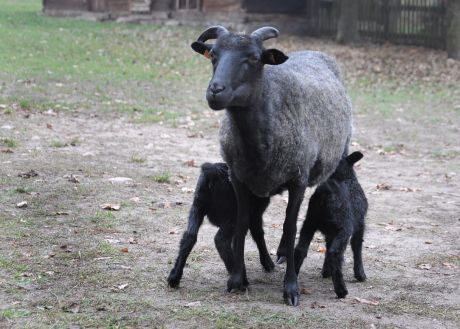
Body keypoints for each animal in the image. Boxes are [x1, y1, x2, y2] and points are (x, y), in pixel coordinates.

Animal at [190, 25, 352, 304]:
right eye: (213, 55)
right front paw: (237, 279)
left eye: (254, 58)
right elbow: (243, 223)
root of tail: (313, 51)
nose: (215, 90)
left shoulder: (298, 179)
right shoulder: (239, 178)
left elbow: (289, 227)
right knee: (256, 225)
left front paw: (291, 288)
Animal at [294, 151, 366, 298]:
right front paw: (360, 274)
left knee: (300, 250)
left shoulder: (330, 233)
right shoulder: (360, 224)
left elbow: (327, 247)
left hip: (309, 223)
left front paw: (326, 271)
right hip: (344, 228)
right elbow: (357, 247)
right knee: (334, 253)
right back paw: (341, 290)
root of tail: (325, 193)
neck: (344, 176)